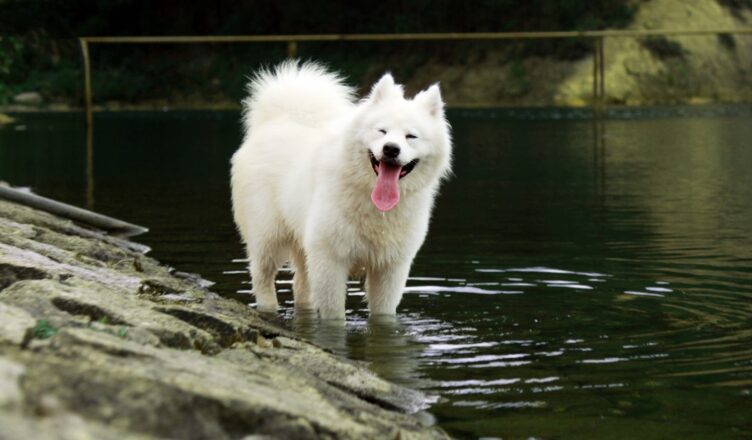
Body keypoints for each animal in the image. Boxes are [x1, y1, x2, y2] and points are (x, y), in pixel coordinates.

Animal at [229, 60, 452, 318]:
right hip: (269, 237)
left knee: (301, 285)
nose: (390, 149)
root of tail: (277, 120)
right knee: (262, 276)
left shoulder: (390, 267)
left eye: (411, 136)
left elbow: (383, 315)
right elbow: (334, 316)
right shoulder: (330, 260)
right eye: (382, 131)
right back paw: (268, 309)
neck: (372, 202)